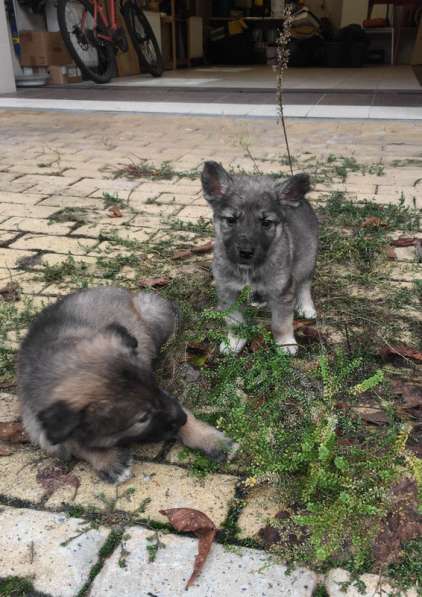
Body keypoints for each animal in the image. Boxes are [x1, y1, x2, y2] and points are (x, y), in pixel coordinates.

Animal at [17, 286, 234, 482]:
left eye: (156, 388)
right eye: (143, 418)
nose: (181, 418)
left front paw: (211, 440)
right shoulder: (38, 428)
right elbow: (74, 444)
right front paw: (108, 460)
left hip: (153, 313)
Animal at [201, 161, 316, 354]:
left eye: (266, 223)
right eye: (231, 220)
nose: (246, 252)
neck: (248, 268)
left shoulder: (281, 292)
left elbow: (281, 323)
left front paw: (285, 343)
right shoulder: (228, 291)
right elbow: (234, 321)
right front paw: (234, 341)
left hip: (307, 259)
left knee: (304, 284)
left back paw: (307, 307)